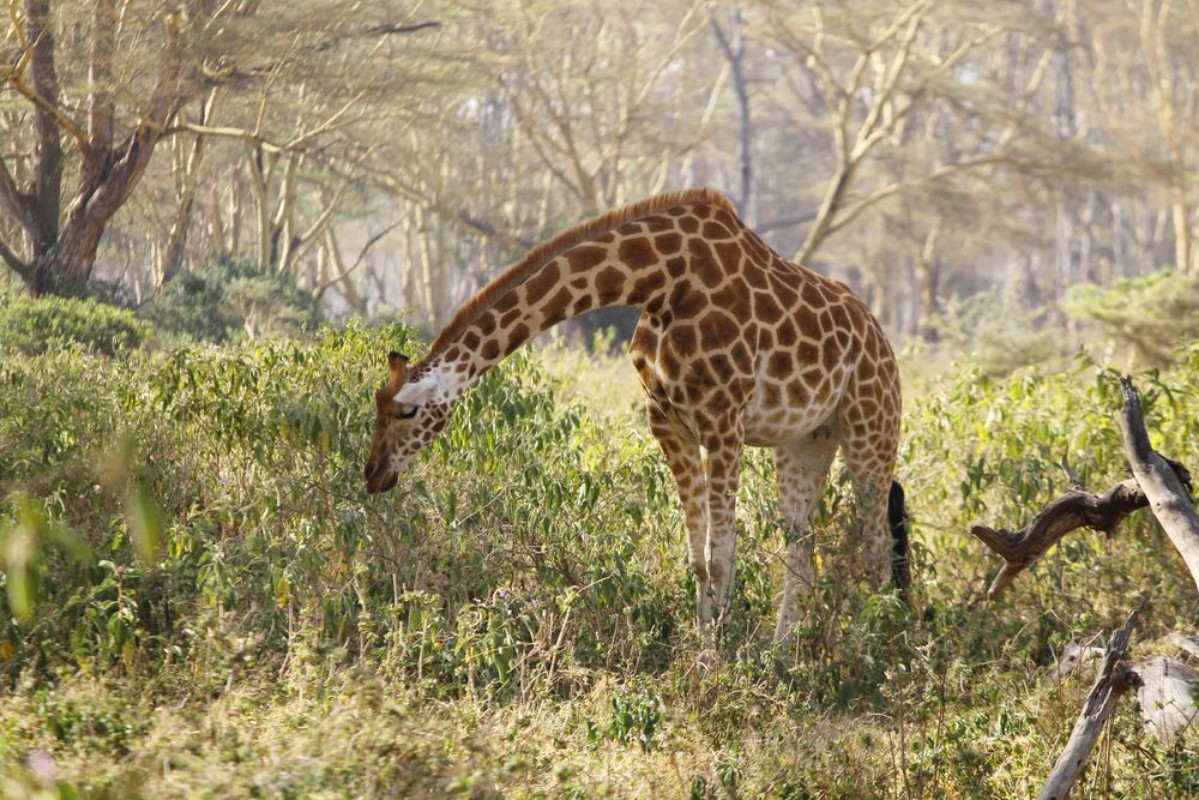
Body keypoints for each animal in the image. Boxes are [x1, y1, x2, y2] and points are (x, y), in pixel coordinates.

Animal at [364, 188, 908, 643]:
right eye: (377, 404)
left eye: (407, 411)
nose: (373, 474)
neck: (658, 280)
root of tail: (881, 337)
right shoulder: (668, 422)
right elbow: (697, 558)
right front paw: (703, 651)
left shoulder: (724, 422)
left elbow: (722, 556)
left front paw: (725, 661)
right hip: (805, 441)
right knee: (803, 552)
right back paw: (782, 658)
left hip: (871, 427)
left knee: (877, 547)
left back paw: (876, 657)